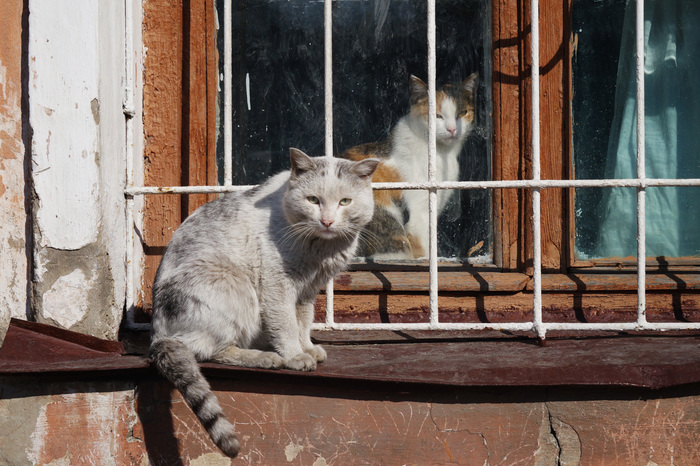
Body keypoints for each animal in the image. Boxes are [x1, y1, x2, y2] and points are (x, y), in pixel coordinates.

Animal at [150, 150, 380, 458]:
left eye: (345, 202)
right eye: (313, 200)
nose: (328, 221)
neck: (320, 248)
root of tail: (157, 334)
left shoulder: (308, 290)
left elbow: (303, 322)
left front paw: (307, 348)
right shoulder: (278, 284)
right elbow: (286, 325)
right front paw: (296, 356)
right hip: (234, 286)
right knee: (207, 350)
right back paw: (267, 357)